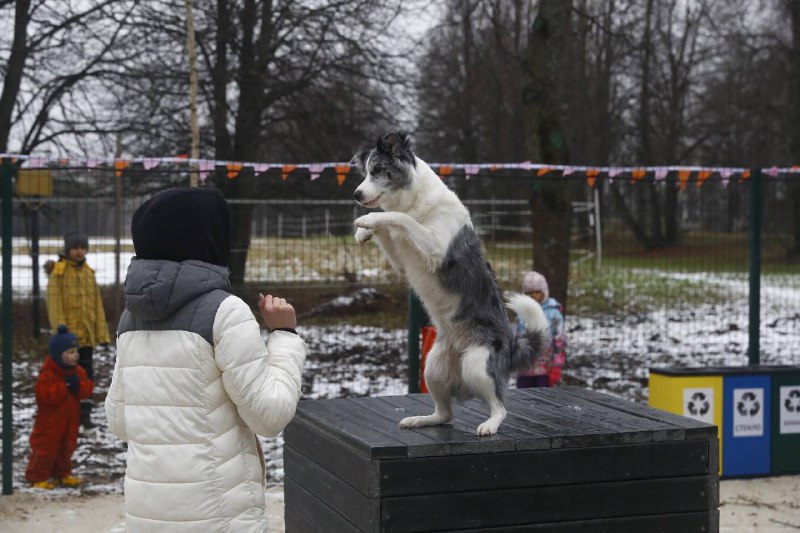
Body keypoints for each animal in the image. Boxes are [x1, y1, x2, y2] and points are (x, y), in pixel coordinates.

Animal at [352, 131, 552, 434]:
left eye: (377, 170)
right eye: (364, 173)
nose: (356, 194)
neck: (415, 200)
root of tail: (512, 345)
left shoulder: (435, 246)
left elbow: (400, 218)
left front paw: (368, 220)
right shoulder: (400, 258)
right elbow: (390, 230)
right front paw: (365, 232)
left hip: (477, 363)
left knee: (500, 406)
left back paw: (490, 424)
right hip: (432, 368)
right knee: (445, 414)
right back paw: (421, 419)